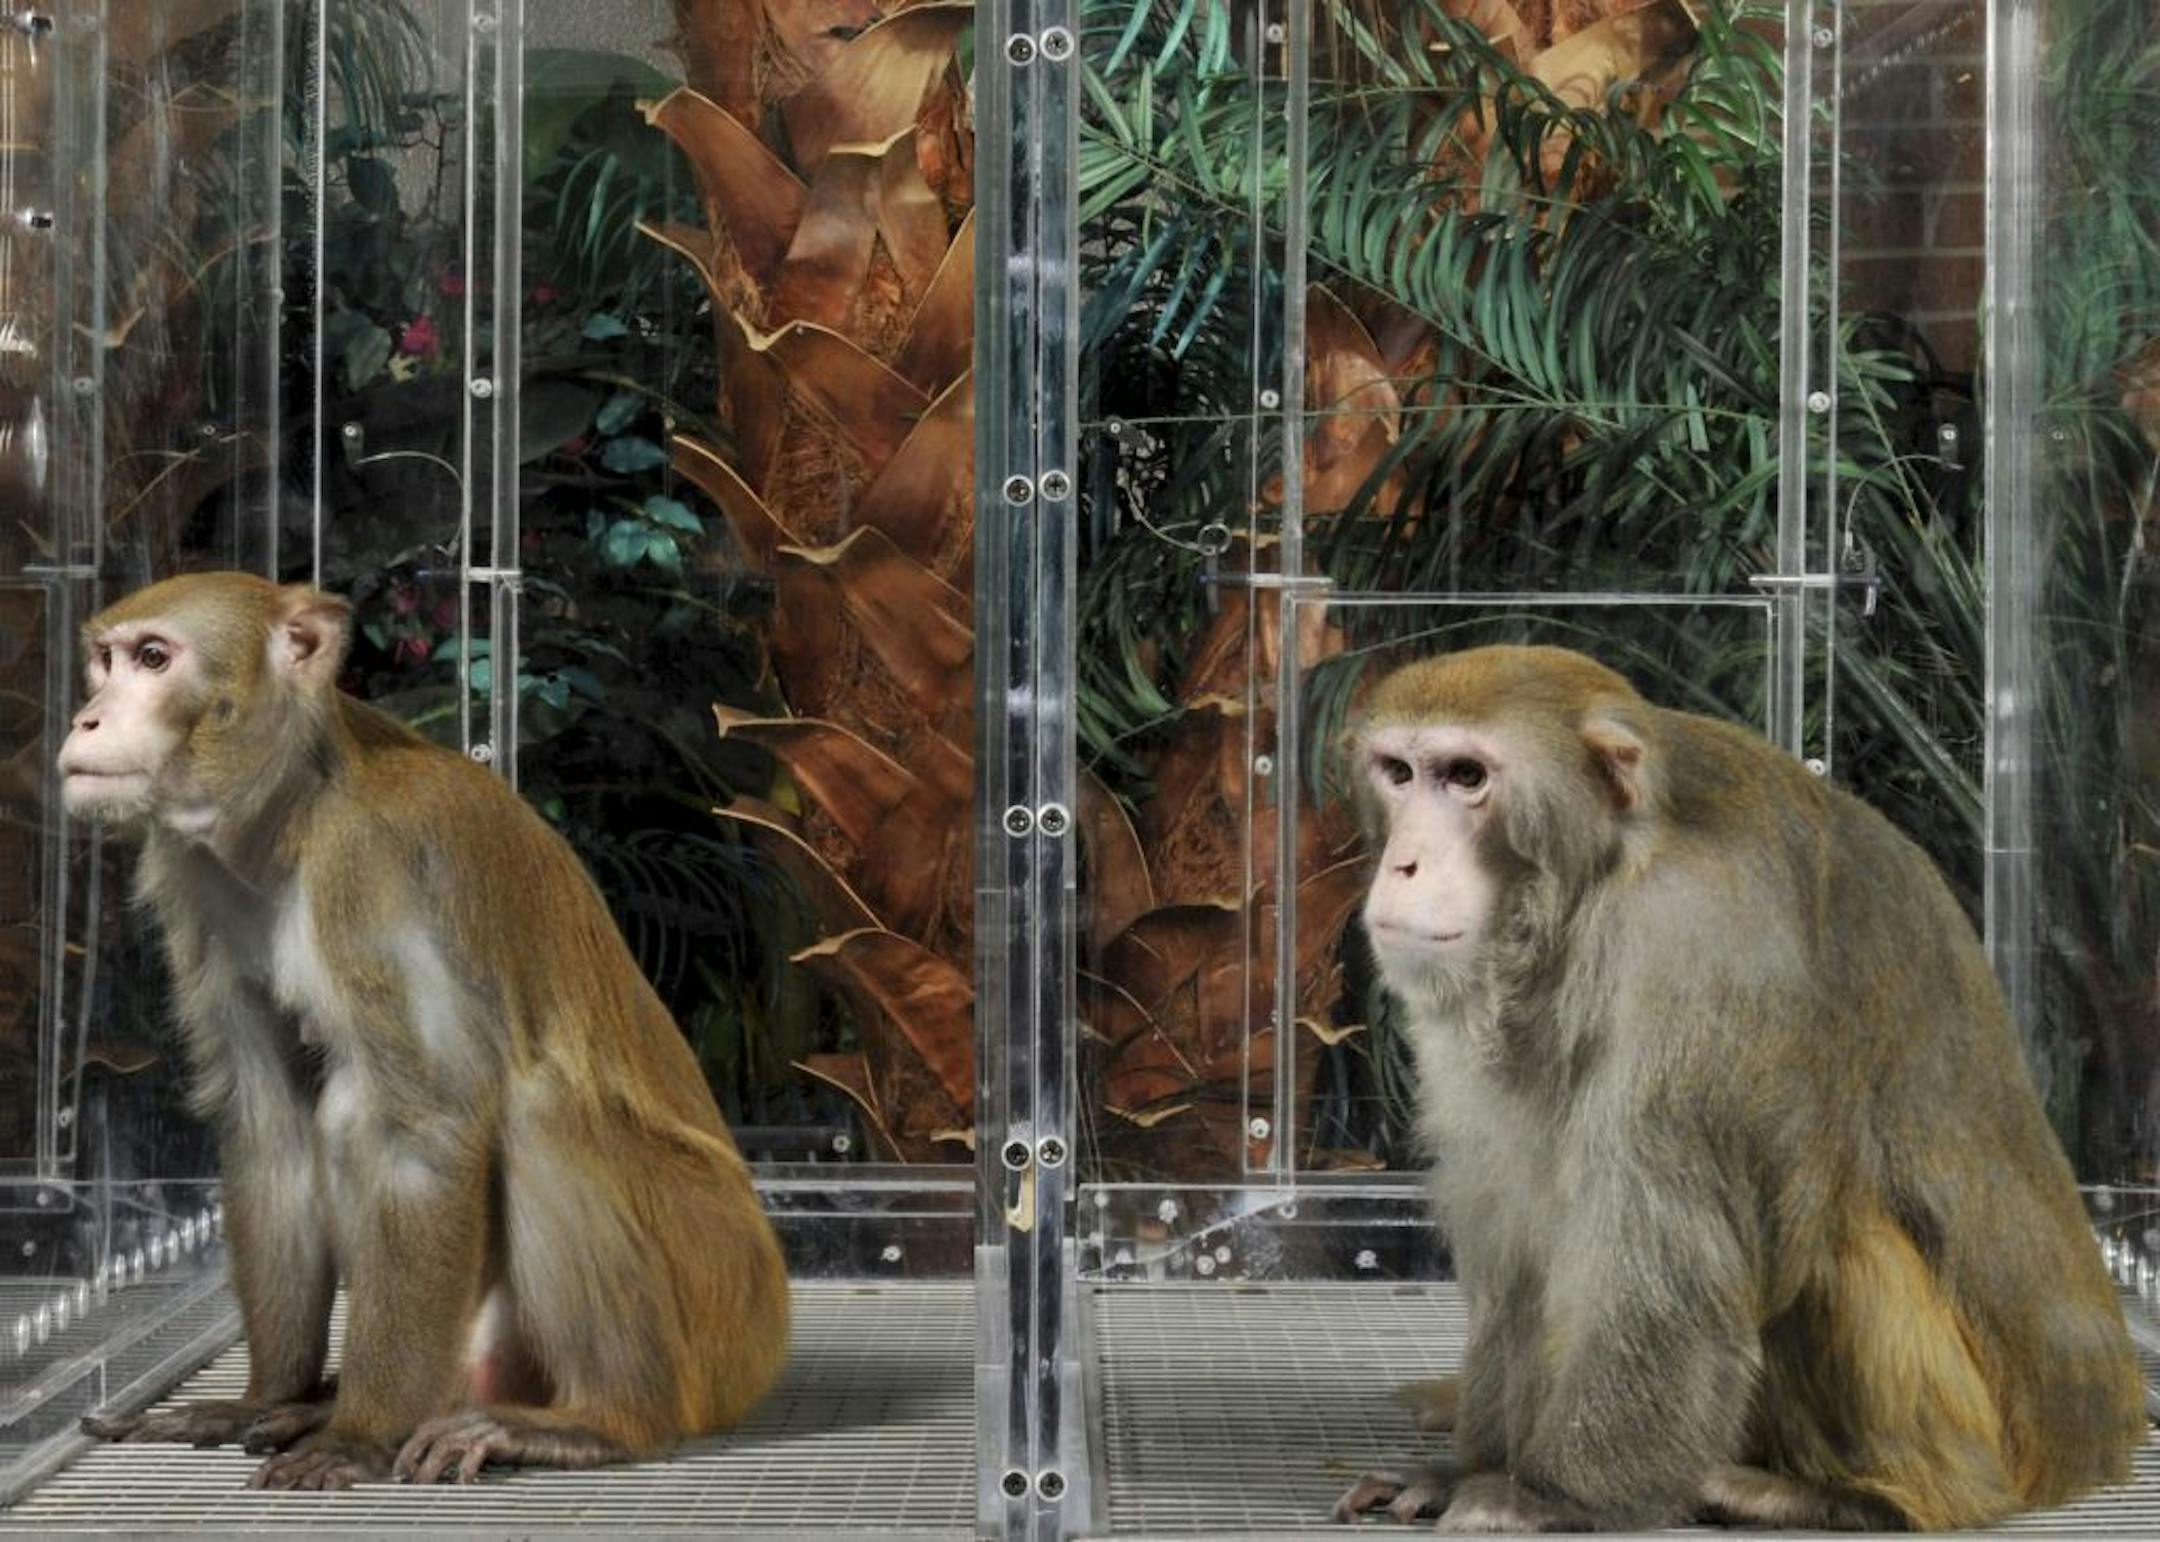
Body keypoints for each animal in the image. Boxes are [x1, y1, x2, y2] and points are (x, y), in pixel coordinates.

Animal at [57, 572, 790, 1491]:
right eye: (103, 660)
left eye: (155, 658)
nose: (85, 718)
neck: (293, 813)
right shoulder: (196, 882)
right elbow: (272, 1128)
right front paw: (267, 1398)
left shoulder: (374, 866)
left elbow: (428, 1130)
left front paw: (360, 1435)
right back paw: (319, 1405)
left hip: (721, 1303)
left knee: (537, 1111)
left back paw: (601, 1422)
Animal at [1332, 644, 2147, 1533]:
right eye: (1400, 772)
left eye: (1467, 776)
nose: (1404, 863)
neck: (1601, 879)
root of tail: (2096, 1436)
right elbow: (1520, 1238)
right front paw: (1467, 1466)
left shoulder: (1702, 941)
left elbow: (1668, 1260)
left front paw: (1551, 1496)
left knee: (1835, 1235)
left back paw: (1862, 1495)